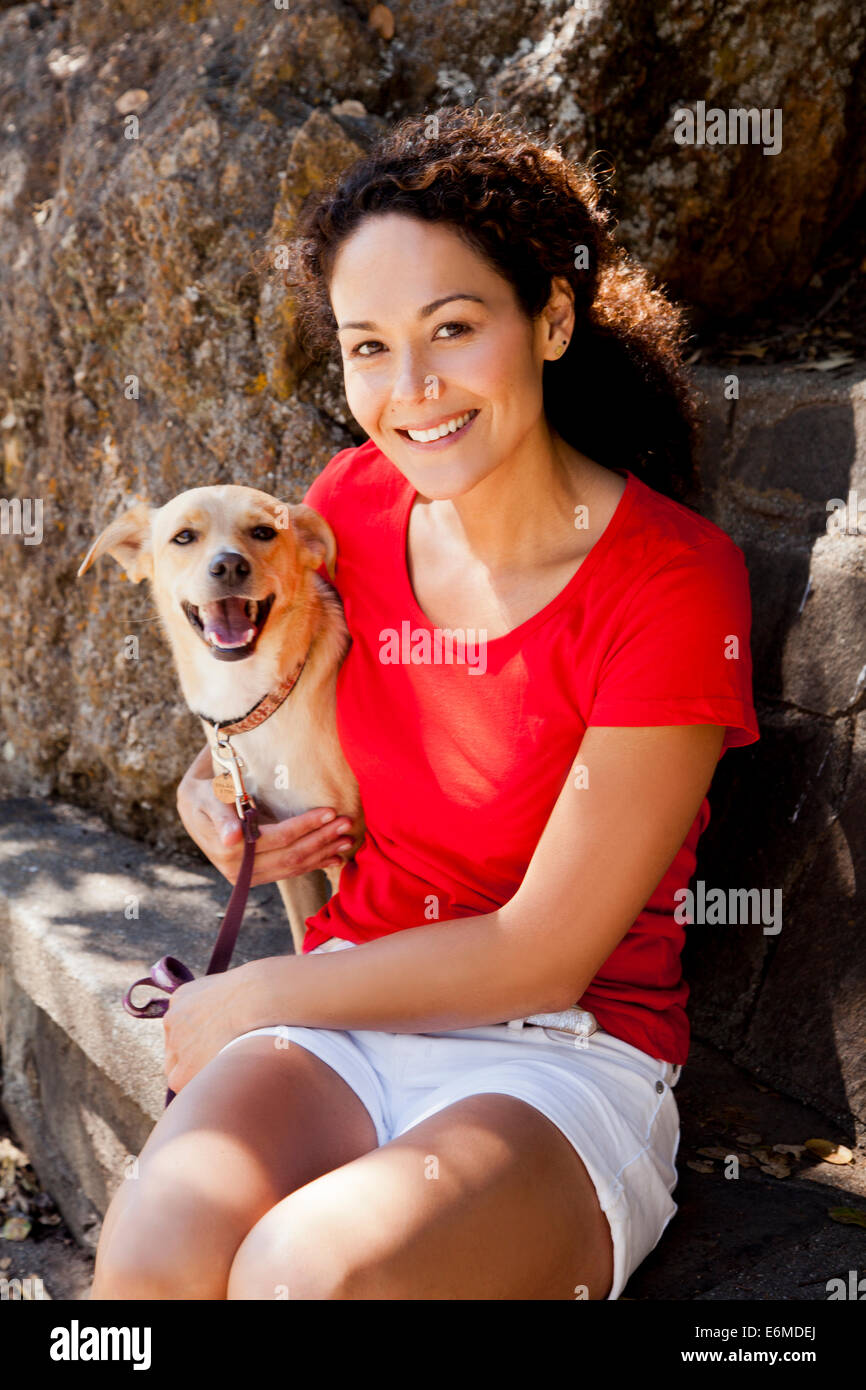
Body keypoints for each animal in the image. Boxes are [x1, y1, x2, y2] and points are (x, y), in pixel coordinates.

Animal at [78, 480, 366, 956]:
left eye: (264, 532)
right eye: (183, 537)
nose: (229, 565)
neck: (248, 695)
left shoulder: (348, 852)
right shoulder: (288, 850)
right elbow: (302, 933)